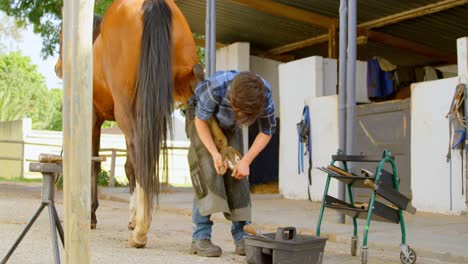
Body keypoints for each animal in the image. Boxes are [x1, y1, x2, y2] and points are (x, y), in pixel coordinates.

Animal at [54, 0, 203, 248]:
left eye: (61, 35)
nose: (58, 69)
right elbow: (129, 167)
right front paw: (132, 217)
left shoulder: (94, 118)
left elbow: (94, 163)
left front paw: (92, 215)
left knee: (141, 151)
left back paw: (141, 232)